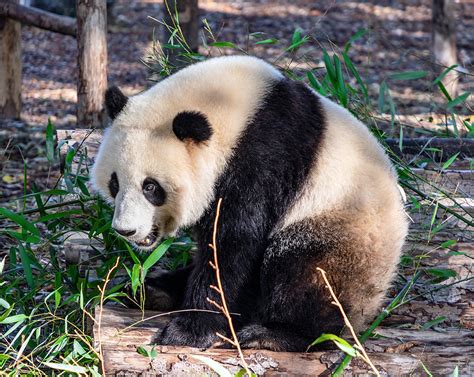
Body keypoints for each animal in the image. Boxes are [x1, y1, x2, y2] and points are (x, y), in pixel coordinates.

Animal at [91, 54, 408, 352]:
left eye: (151, 187)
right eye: (115, 183)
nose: (126, 230)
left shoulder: (263, 158)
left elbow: (235, 243)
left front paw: (188, 331)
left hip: (341, 229)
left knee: (304, 273)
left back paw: (275, 334)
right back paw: (153, 290)